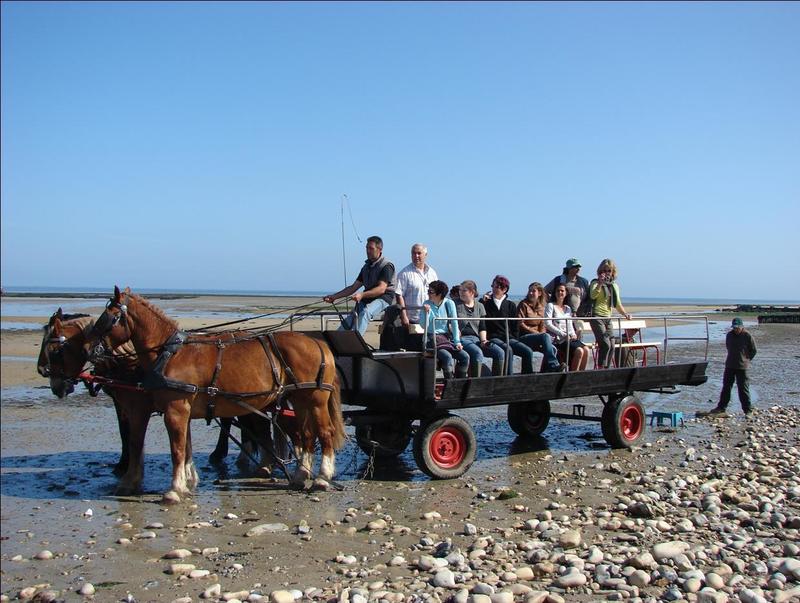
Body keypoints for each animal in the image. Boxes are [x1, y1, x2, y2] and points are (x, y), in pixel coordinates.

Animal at [88, 287, 345, 503]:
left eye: (109, 317)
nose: (91, 351)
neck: (171, 353)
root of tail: (318, 343)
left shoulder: (174, 409)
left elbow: (176, 449)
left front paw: (174, 490)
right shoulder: (183, 411)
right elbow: (186, 447)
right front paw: (187, 484)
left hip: (316, 400)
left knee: (325, 432)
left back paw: (322, 477)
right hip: (300, 399)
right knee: (307, 434)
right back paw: (301, 475)